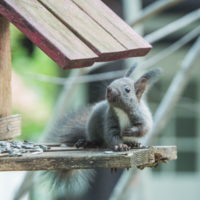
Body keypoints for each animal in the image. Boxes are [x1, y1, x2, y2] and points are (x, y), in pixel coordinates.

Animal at [44, 65, 161, 198]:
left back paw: (134, 143)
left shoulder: (142, 117)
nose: (109, 89)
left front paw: (129, 132)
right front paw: (120, 146)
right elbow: (111, 135)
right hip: (93, 126)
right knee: (97, 140)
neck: (121, 110)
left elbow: (143, 129)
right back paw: (89, 143)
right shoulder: (109, 120)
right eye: (113, 81)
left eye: (127, 89)